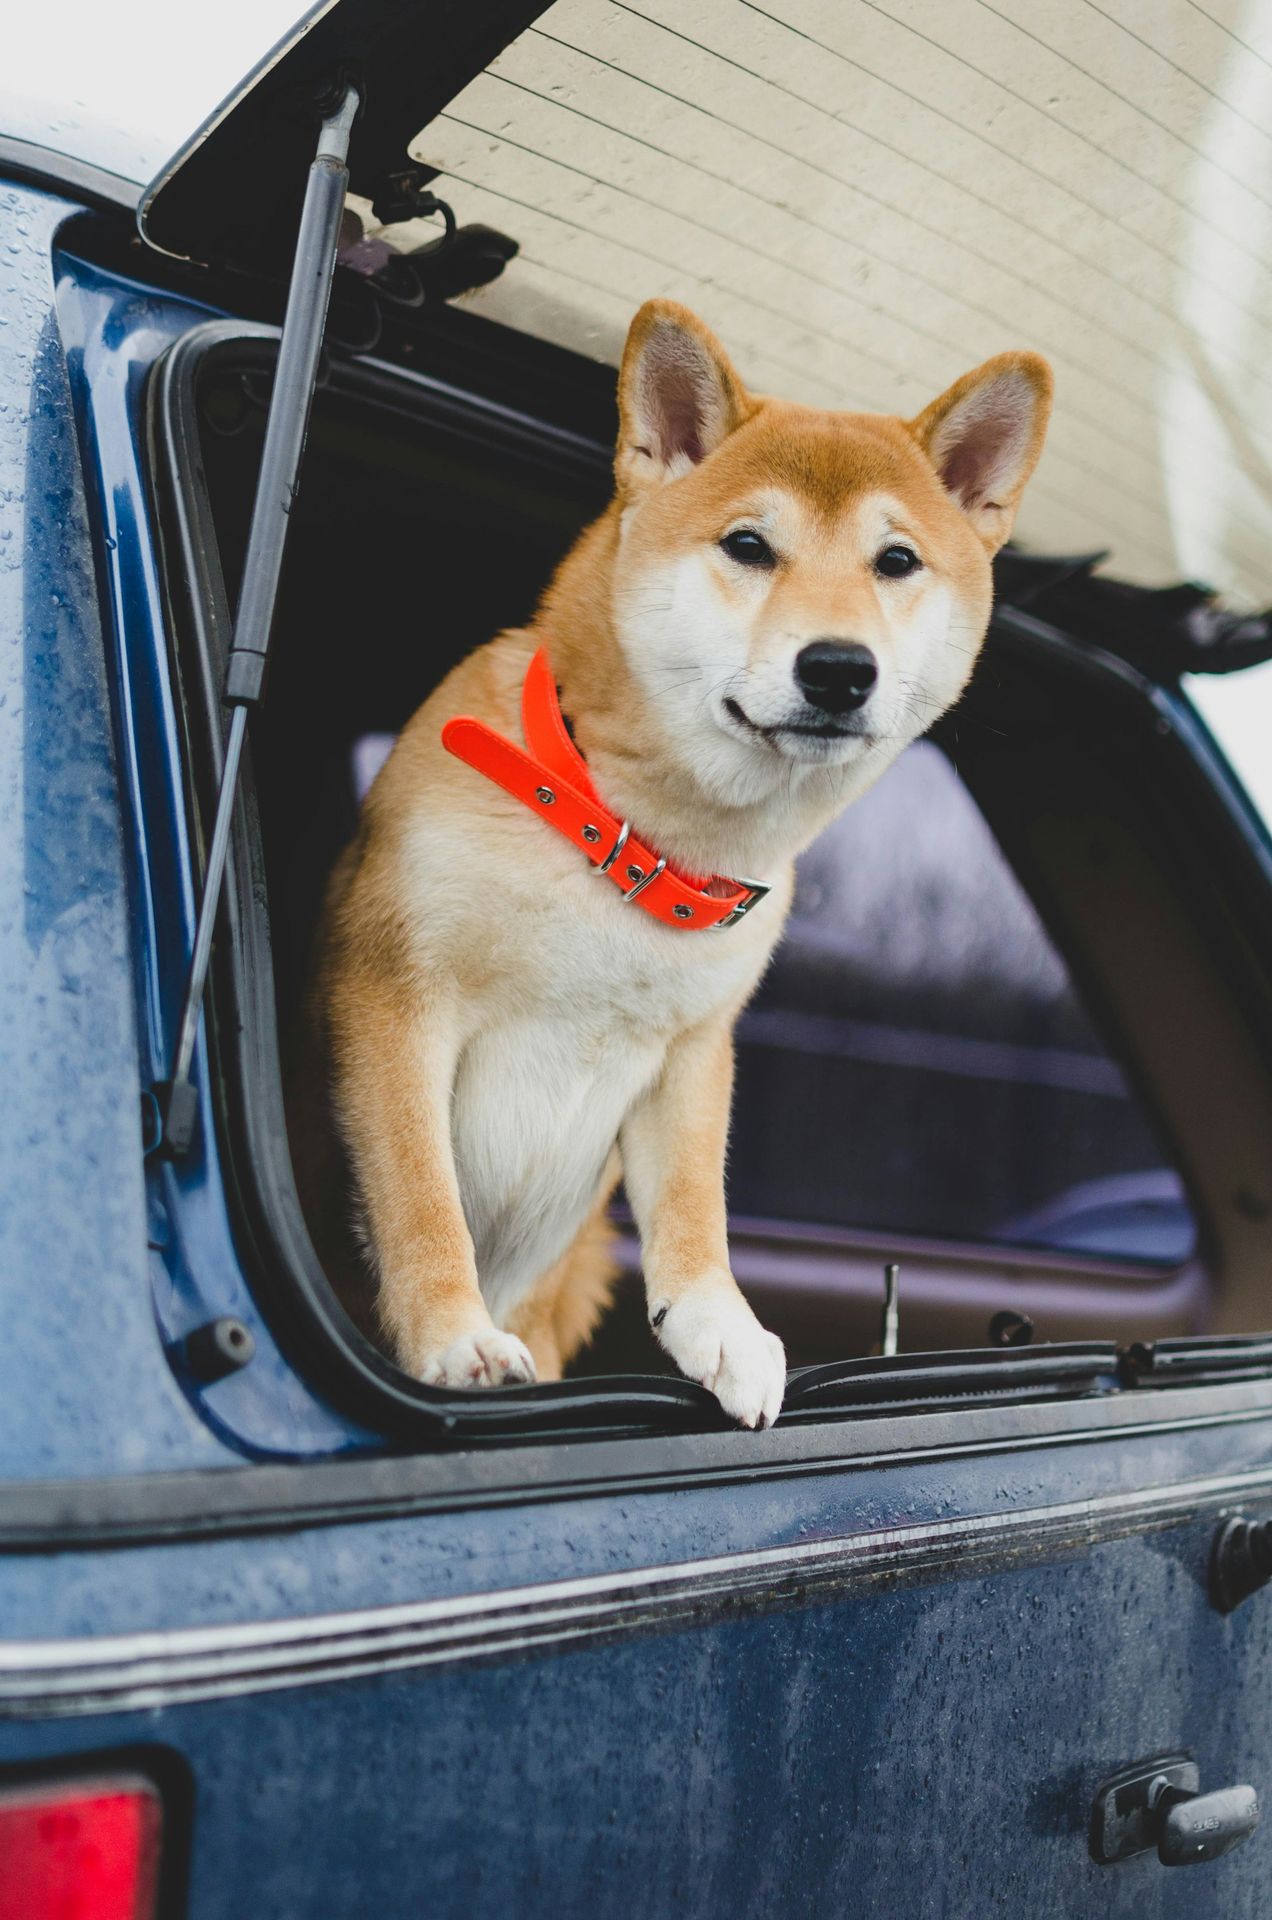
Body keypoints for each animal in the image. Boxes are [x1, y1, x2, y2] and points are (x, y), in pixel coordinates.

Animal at [301, 299, 1052, 1428]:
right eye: (748, 545)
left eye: (897, 563)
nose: (839, 668)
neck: (631, 840)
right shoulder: (391, 997)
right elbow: (421, 1196)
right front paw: (452, 1338)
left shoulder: (696, 1052)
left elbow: (698, 1206)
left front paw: (721, 1326)